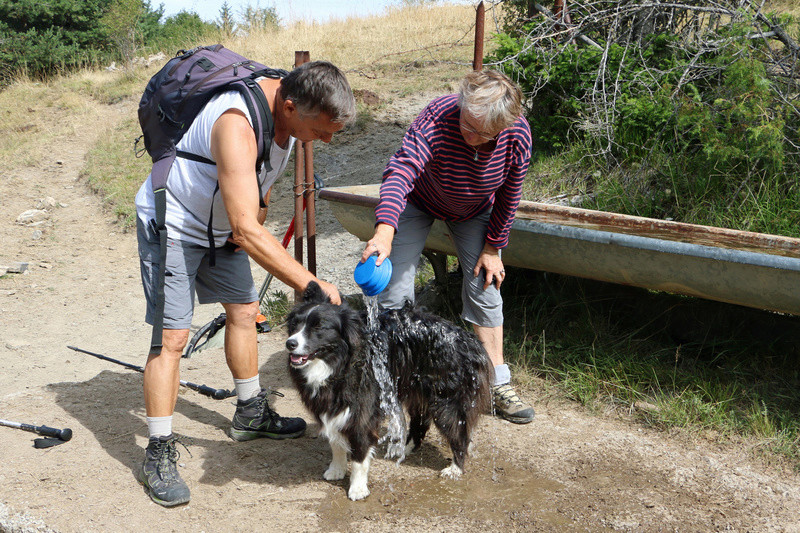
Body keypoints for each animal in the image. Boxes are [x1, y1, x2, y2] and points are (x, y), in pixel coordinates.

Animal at [284, 282, 490, 498]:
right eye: (295, 325)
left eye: (319, 327)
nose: (290, 343)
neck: (339, 362)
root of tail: (470, 340)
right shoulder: (333, 405)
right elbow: (336, 440)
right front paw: (336, 469)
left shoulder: (363, 405)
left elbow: (359, 450)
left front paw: (357, 488)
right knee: (419, 421)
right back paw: (403, 448)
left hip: (446, 398)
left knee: (458, 431)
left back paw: (455, 468)